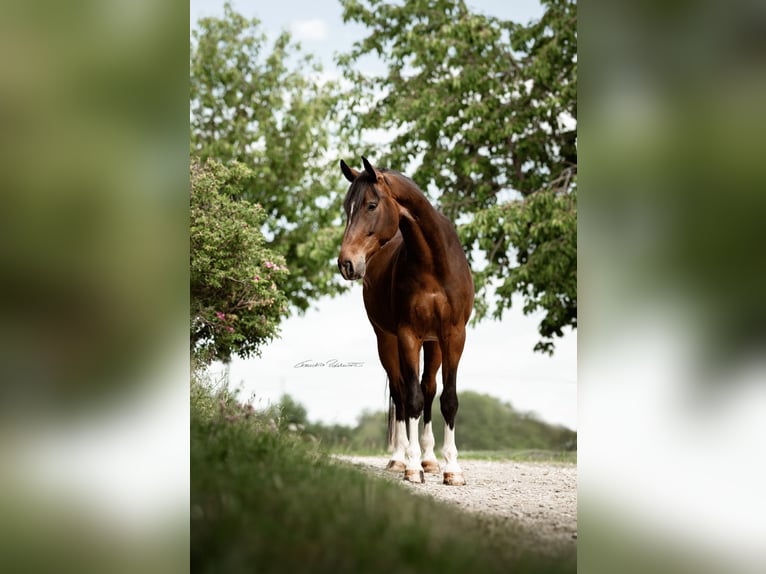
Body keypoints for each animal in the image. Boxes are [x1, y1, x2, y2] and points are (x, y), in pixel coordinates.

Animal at [337, 157, 474, 485]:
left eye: (371, 205)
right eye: (347, 207)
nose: (346, 263)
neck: (433, 262)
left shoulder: (454, 336)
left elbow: (448, 399)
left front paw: (452, 469)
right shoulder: (407, 335)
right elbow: (410, 399)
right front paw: (411, 466)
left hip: (433, 344)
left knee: (428, 388)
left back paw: (430, 460)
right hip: (386, 341)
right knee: (401, 394)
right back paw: (400, 458)